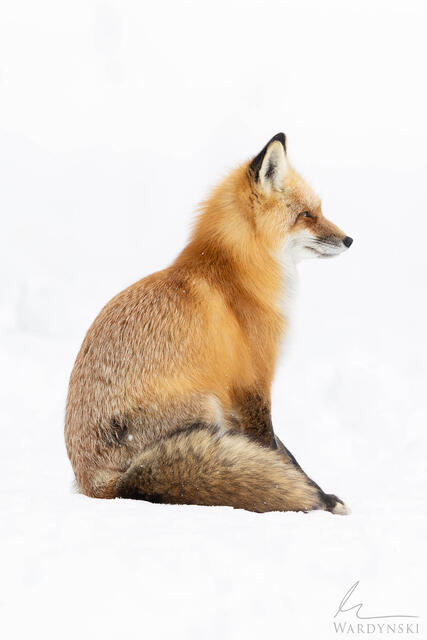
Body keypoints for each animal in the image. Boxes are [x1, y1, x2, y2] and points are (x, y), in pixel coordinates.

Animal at [65, 133, 353, 514]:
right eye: (306, 215)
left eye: (319, 209)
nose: (350, 239)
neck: (237, 273)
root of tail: (100, 484)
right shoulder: (253, 382)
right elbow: (274, 450)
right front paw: (315, 495)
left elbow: (281, 452)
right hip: (206, 405)